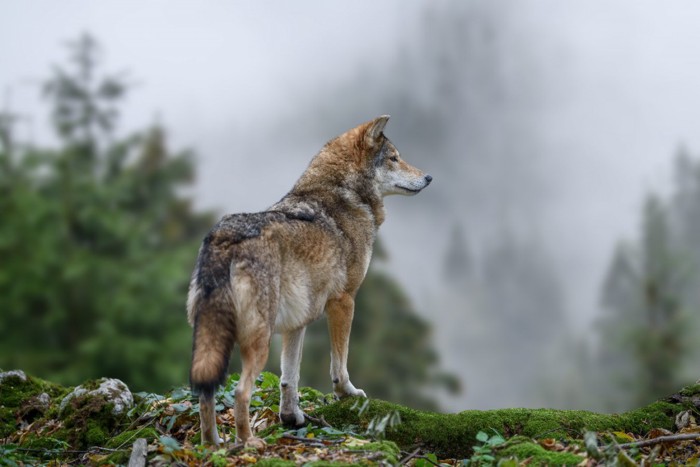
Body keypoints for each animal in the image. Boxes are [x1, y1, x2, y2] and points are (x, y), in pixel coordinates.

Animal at [186, 114, 432, 450]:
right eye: (394, 158)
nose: (429, 177)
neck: (344, 195)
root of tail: (225, 239)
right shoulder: (344, 301)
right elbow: (339, 365)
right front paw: (347, 394)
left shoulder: (297, 322)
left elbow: (289, 378)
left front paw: (291, 417)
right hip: (258, 341)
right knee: (239, 391)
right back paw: (248, 442)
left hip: (214, 338)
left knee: (206, 392)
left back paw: (213, 445)